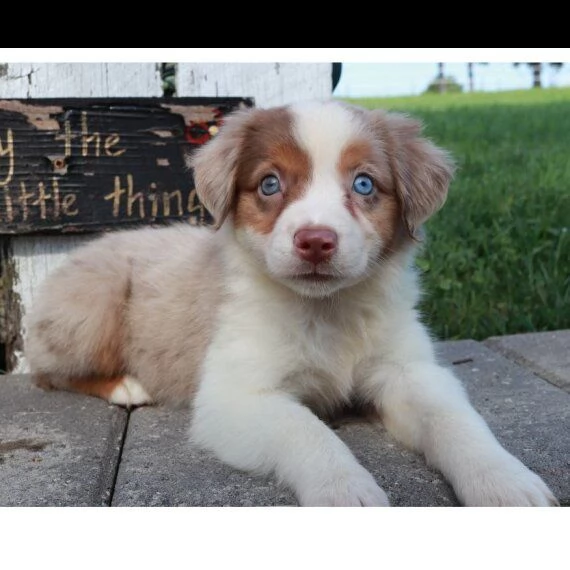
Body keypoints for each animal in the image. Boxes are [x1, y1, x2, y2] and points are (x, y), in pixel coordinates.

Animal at [25, 100, 556, 504]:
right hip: (93, 304)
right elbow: (305, 428)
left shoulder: (409, 370)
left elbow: (456, 421)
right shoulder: (236, 396)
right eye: (269, 184)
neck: (327, 311)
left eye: (364, 184)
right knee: (46, 373)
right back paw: (126, 386)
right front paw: (346, 492)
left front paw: (506, 481)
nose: (316, 241)